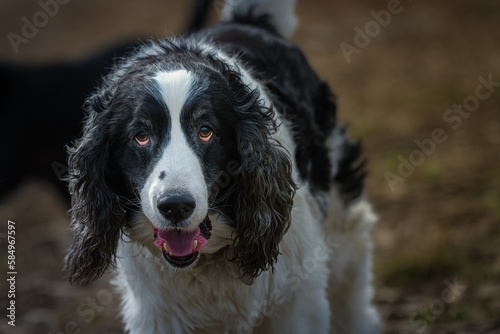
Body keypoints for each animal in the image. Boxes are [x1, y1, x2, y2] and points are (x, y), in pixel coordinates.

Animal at [64, 1, 380, 332]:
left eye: (206, 131)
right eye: (141, 136)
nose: (175, 206)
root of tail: (249, 20)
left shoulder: (295, 301)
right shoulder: (159, 314)